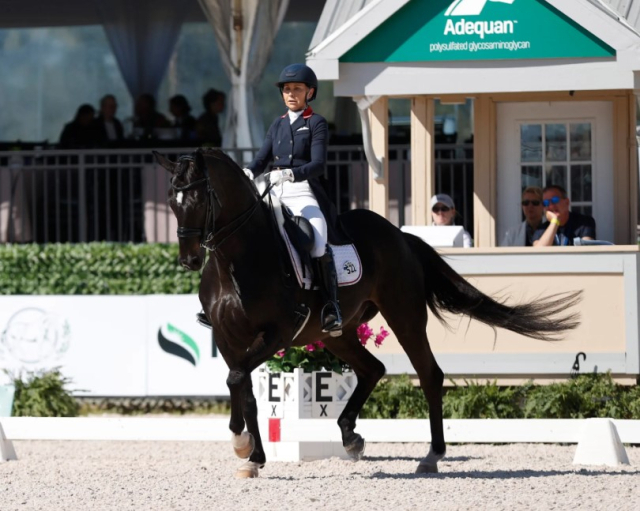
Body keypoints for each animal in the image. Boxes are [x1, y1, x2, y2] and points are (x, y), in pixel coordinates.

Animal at [154, 149, 580, 480]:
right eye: (172, 203)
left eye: (198, 200)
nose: (189, 260)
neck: (236, 261)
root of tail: (401, 235)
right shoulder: (229, 339)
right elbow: (242, 386)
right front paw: (253, 457)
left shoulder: (279, 332)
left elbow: (237, 378)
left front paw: (241, 444)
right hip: (335, 333)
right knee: (372, 369)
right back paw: (350, 437)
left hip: (404, 315)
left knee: (429, 374)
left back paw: (431, 456)